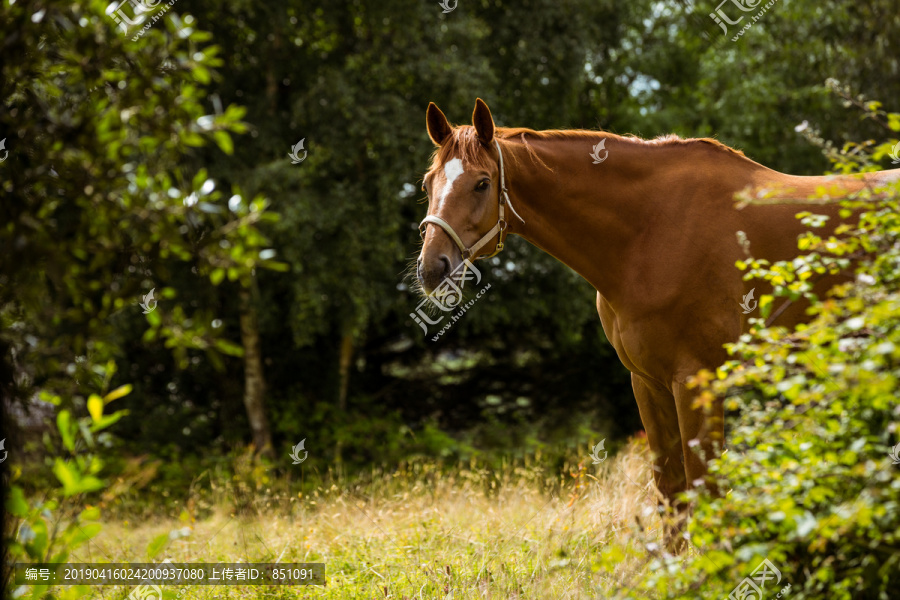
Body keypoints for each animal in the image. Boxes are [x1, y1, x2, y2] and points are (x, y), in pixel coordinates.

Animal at [418, 99, 900, 510]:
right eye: (428, 183)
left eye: (482, 183)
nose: (432, 268)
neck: (650, 230)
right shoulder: (647, 383)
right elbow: (671, 489)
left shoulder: (697, 381)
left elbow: (706, 487)